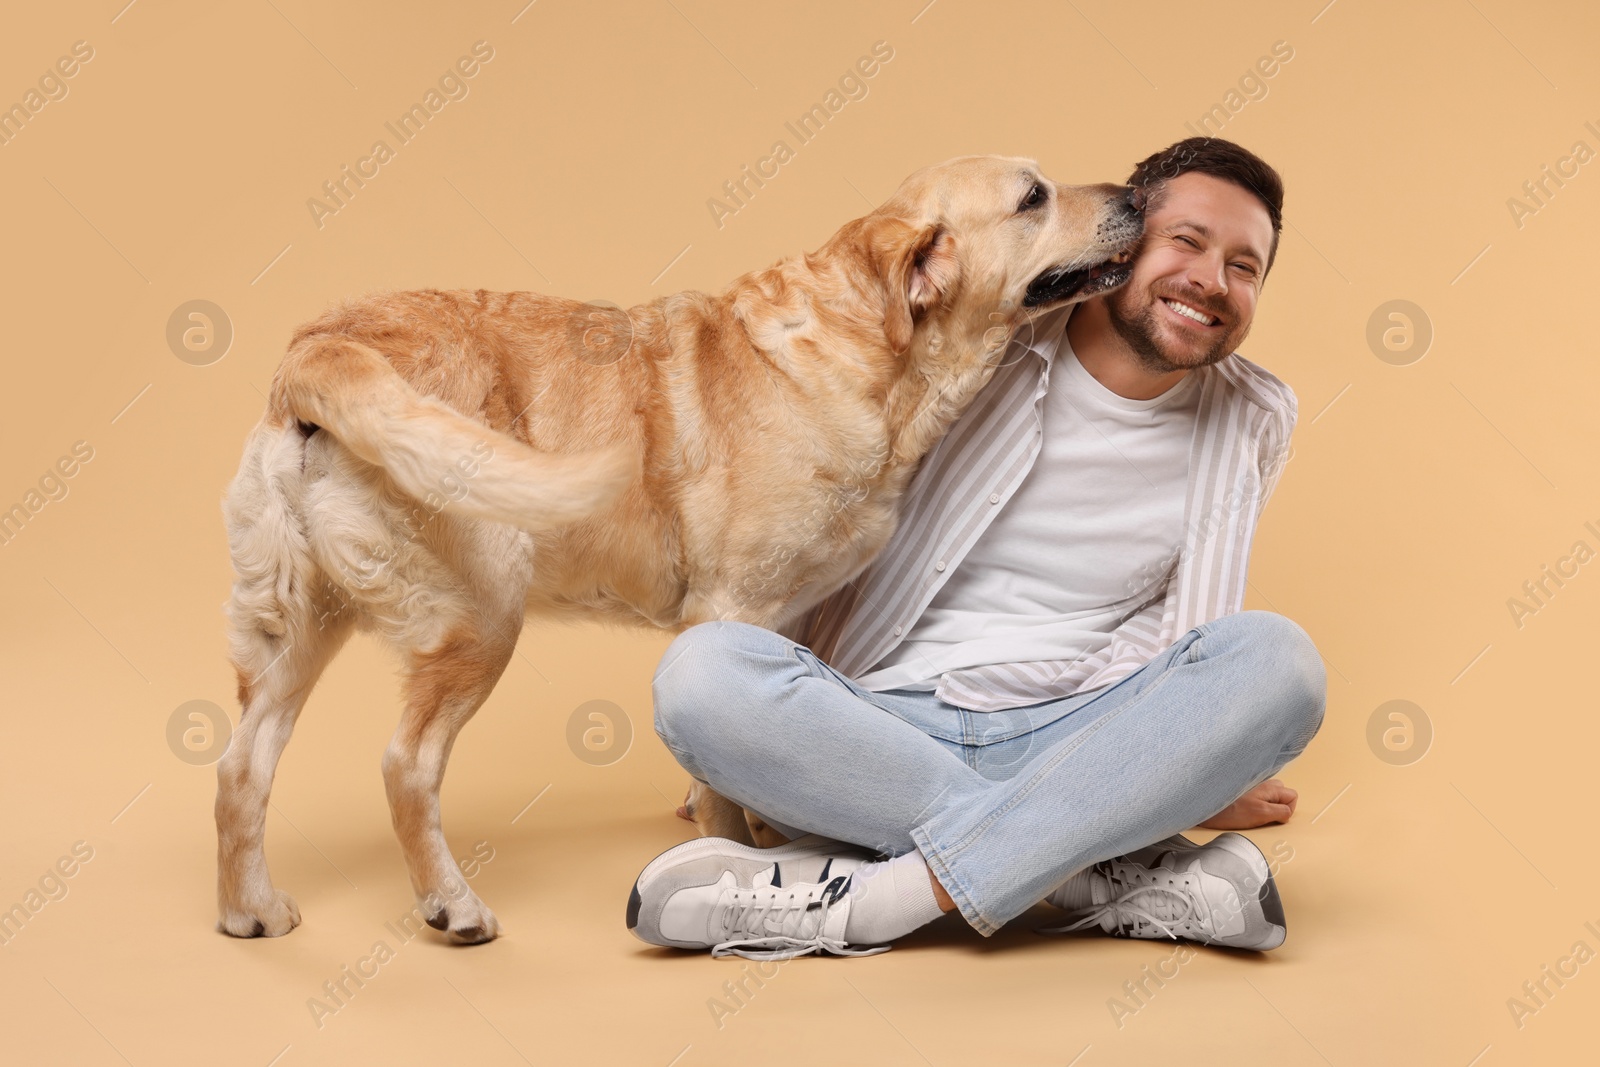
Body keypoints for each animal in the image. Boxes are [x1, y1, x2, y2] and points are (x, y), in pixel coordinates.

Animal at [216, 151, 1139, 940]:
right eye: (1033, 197)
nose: (1135, 194)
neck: (863, 350)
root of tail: (325, 346)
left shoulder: (779, 620)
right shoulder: (726, 609)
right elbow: (723, 774)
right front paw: (733, 849)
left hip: (298, 627)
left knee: (239, 766)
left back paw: (247, 909)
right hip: (480, 618)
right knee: (406, 766)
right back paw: (453, 903)